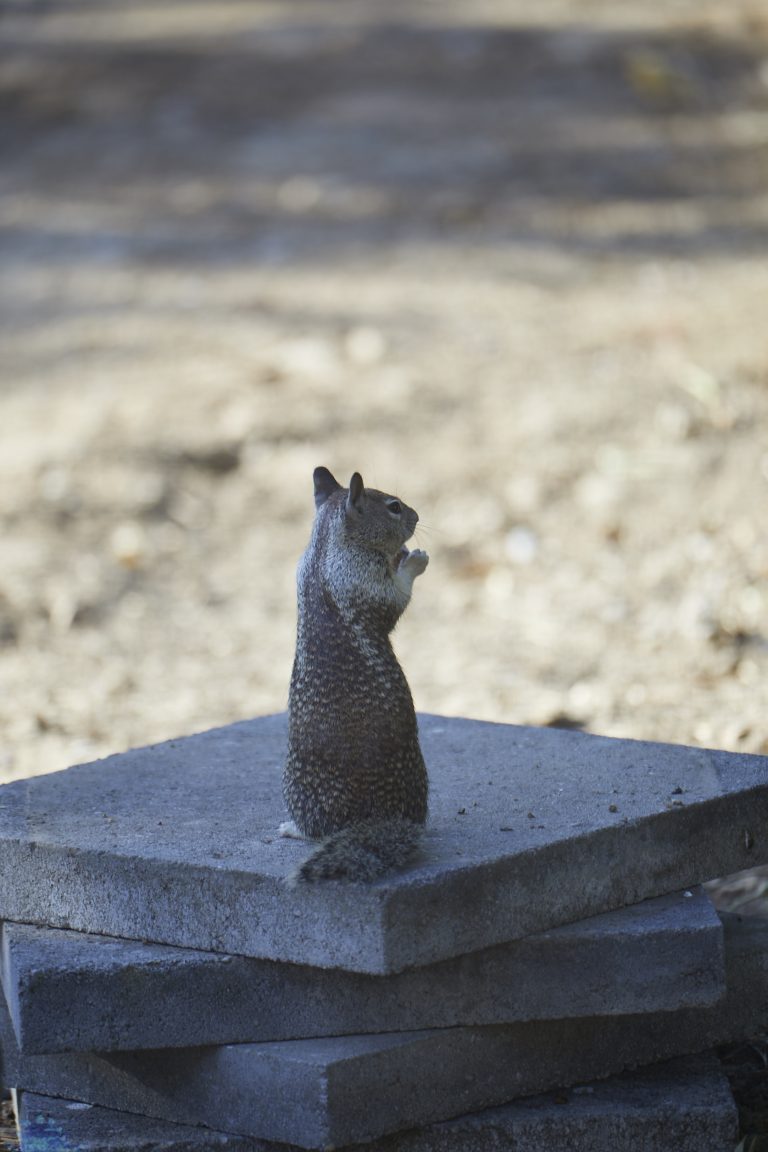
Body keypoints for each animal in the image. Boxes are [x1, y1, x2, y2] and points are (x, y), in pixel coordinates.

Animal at [281, 466, 429, 883]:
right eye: (394, 507)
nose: (417, 516)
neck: (325, 545)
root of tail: (368, 819)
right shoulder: (363, 577)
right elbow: (396, 597)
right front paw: (412, 560)